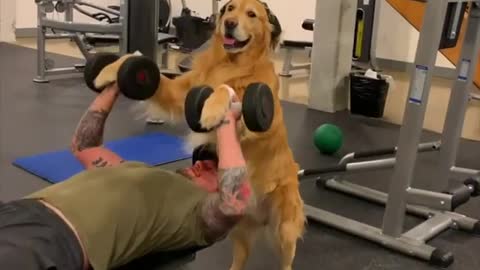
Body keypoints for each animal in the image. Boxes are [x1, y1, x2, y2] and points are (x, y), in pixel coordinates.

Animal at [94, 0, 304, 268]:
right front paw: (107, 70)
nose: (230, 24)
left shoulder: (249, 123)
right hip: (241, 229)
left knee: (287, 258)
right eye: (230, 8)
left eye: (251, 14)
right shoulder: (179, 93)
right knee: (241, 257)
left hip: (284, 229)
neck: (231, 63)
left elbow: (224, 90)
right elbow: (138, 65)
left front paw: (212, 109)